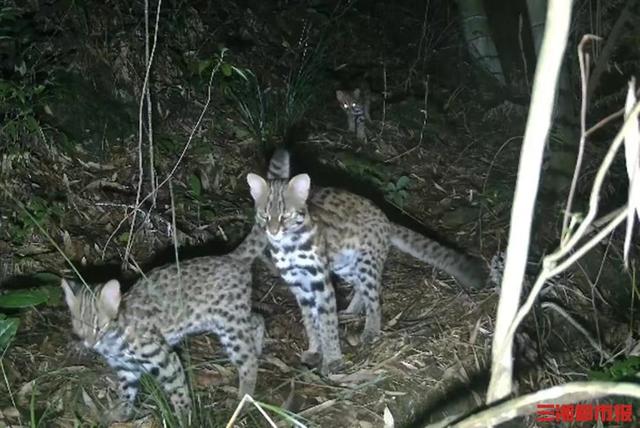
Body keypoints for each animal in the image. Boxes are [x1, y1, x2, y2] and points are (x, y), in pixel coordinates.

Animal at [60, 226, 268, 422]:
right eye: (78, 326)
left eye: (100, 326)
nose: (89, 344)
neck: (112, 343)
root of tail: (232, 257)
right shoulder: (126, 369)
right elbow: (126, 395)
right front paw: (119, 415)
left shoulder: (165, 359)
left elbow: (178, 392)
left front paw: (185, 418)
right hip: (225, 321)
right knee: (258, 319)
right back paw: (257, 349)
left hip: (230, 326)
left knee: (248, 360)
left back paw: (244, 400)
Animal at [245, 149, 484, 372]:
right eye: (264, 215)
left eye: (286, 216)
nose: (273, 231)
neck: (289, 246)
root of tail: (386, 219)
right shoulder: (299, 285)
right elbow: (311, 322)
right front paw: (314, 350)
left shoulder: (320, 282)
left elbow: (327, 322)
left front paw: (332, 360)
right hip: (345, 264)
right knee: (360, 287)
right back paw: (351, 312)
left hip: (366, 263)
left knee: (374, 298)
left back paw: (371, 330)